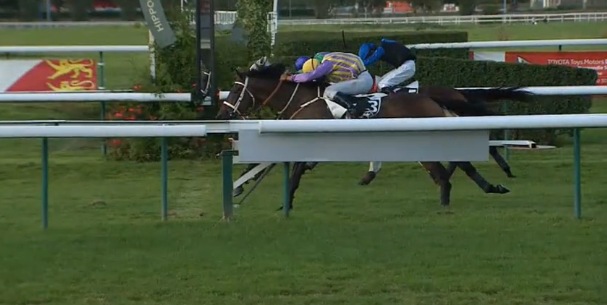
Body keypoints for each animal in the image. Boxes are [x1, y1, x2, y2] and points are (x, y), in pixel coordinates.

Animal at [216, 61, 510, 209]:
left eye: (236, 90)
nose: (222, 113)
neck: (304, 101)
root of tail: (430, 97)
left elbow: (294, 170)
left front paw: (283, 201)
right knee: (452, 168)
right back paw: (478, 190)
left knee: (455, 164)